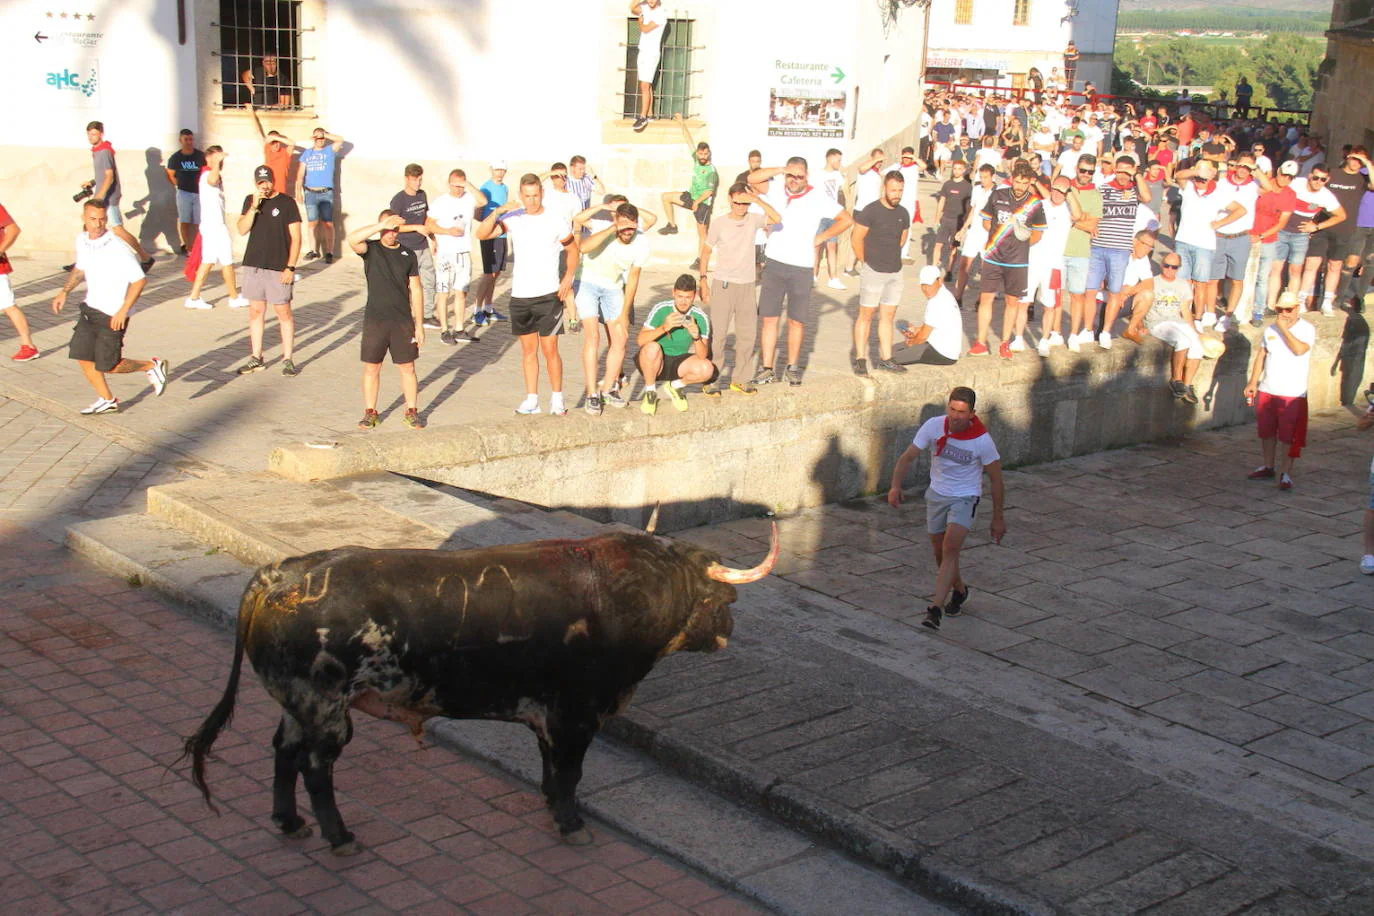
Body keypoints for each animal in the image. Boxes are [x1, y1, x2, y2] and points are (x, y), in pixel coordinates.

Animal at [181, 527, 780, 856]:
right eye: (721, 600)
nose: (729, 631)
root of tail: (283, 574)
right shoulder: (577, 717)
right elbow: (569, 774)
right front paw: (571, 824)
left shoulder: (548, 716)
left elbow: (551, 770)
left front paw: (552, 809)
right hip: (326, 710)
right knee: (315, 768)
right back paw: (339, 836)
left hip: (298, 707)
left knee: (283, 753)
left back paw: (289, 822)